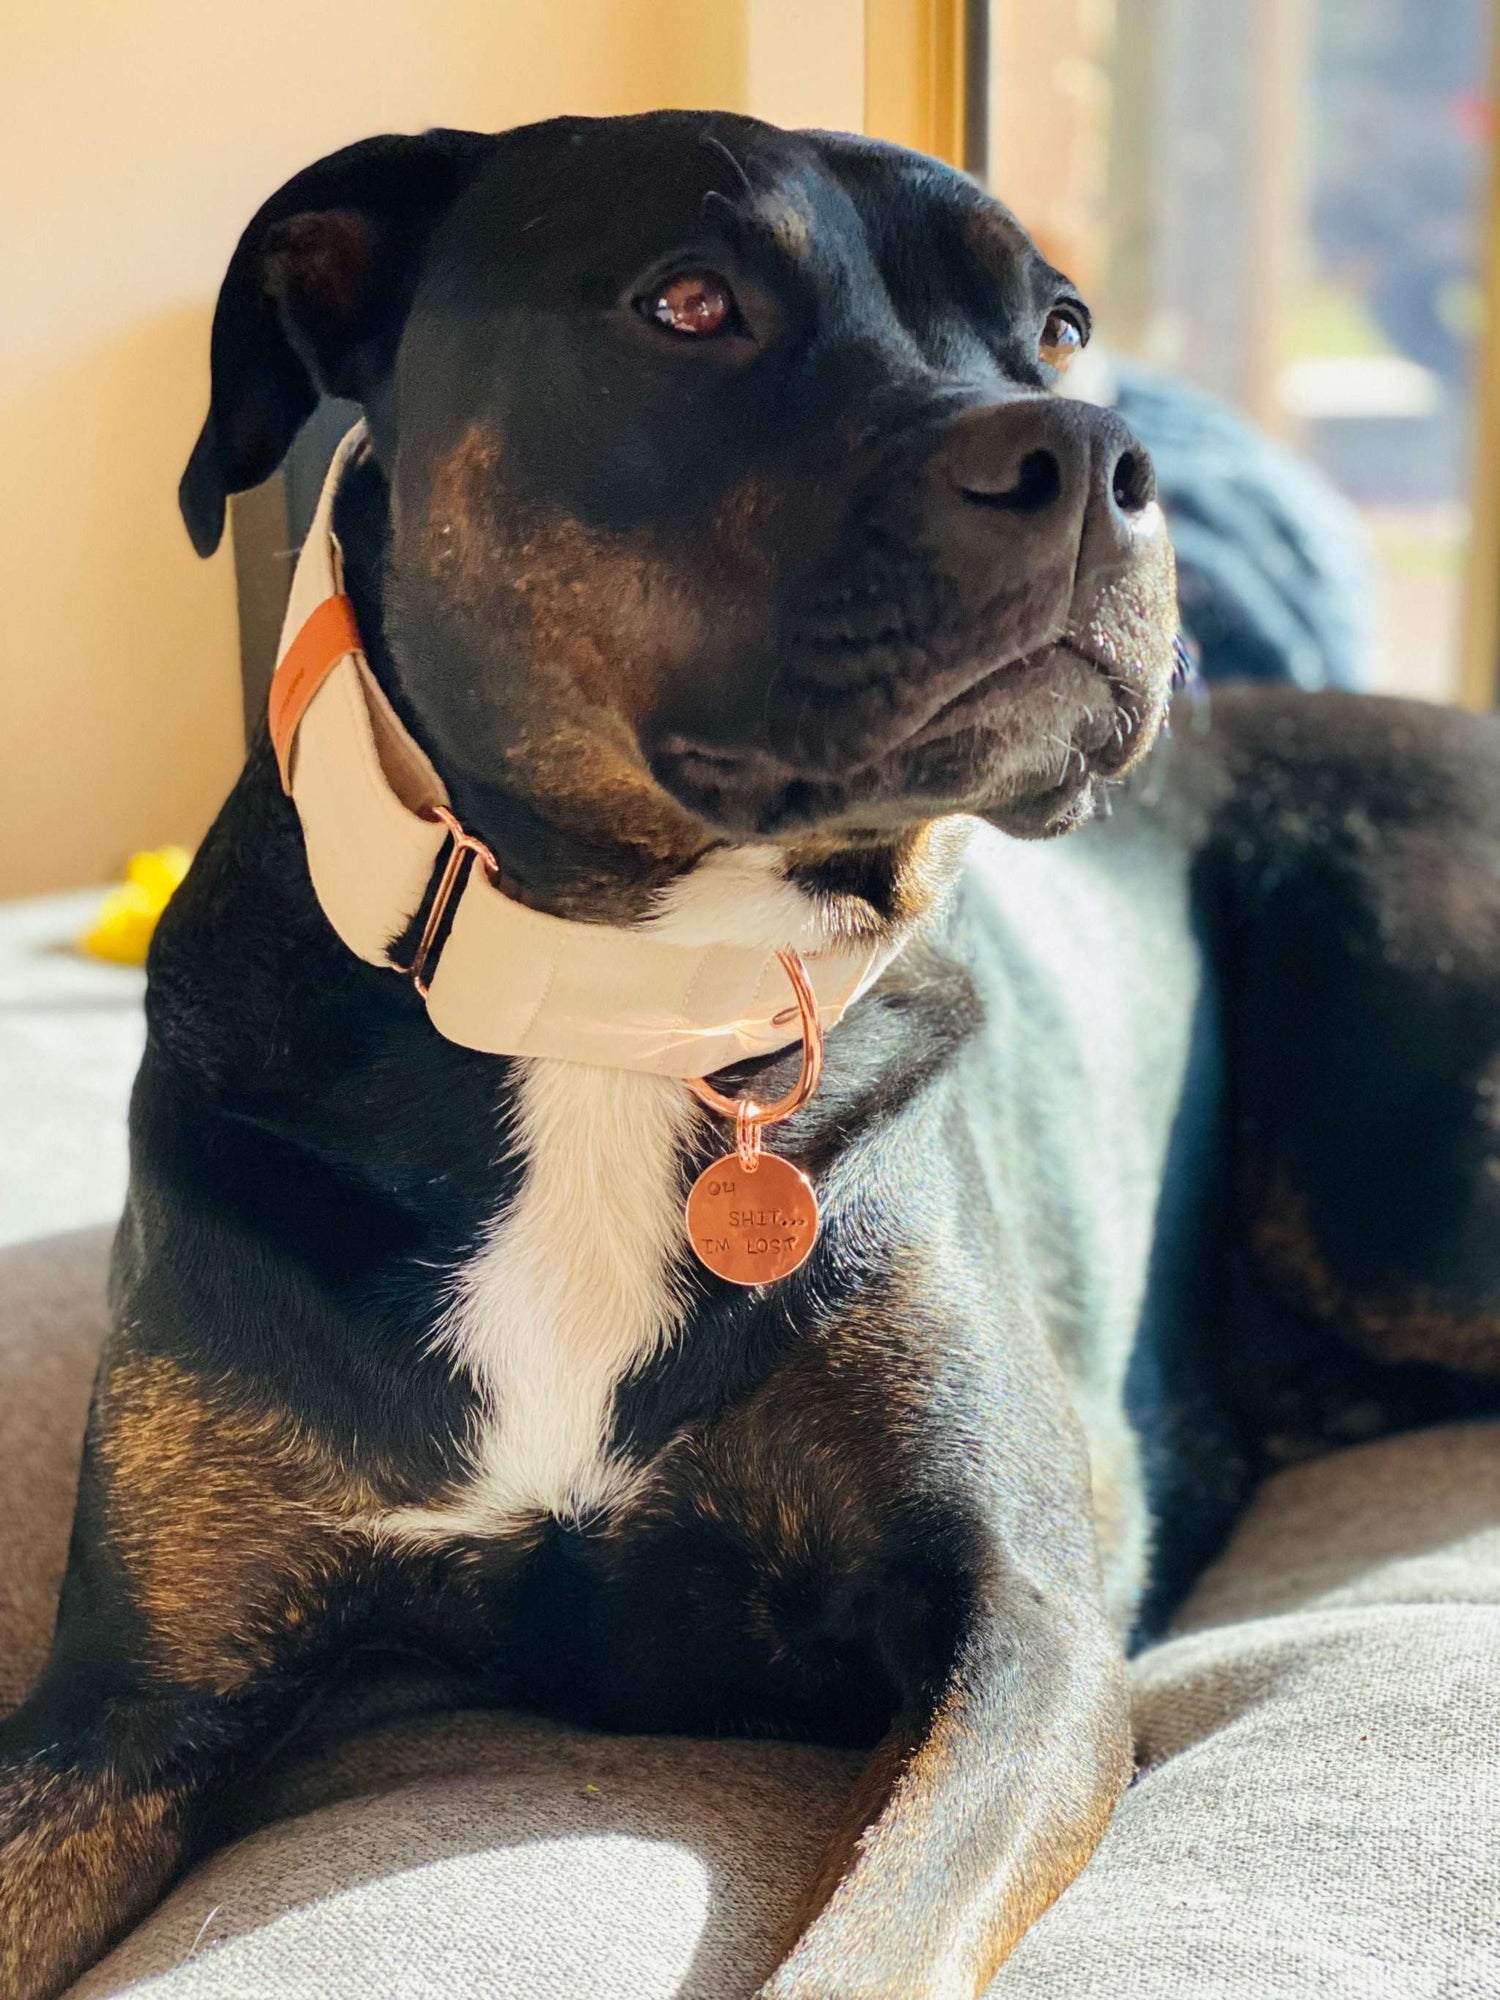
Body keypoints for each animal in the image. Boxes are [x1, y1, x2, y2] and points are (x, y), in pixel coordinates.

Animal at [2, 113, 1500, 2000]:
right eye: (691, 302)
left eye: (1060, 329)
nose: (1098, 460)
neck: (619, 994)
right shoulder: (130, 1702)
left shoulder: (1017, 1640)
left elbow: (865, 1945)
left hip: (1405, 1193)